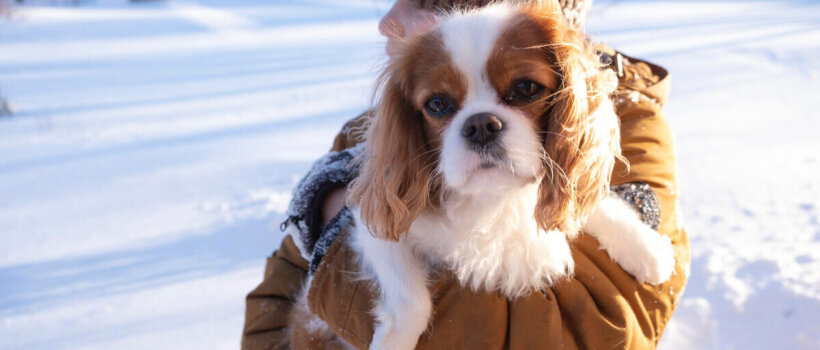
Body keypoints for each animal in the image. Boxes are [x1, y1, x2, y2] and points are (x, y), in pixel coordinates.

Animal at [292, 3, 676, 350]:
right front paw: (393, 341)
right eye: (437, 104)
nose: (480, 125)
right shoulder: (372, 226)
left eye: (526, 88)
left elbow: (588, 204)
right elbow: (410, 300)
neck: (493, 198)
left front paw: (646, 250)